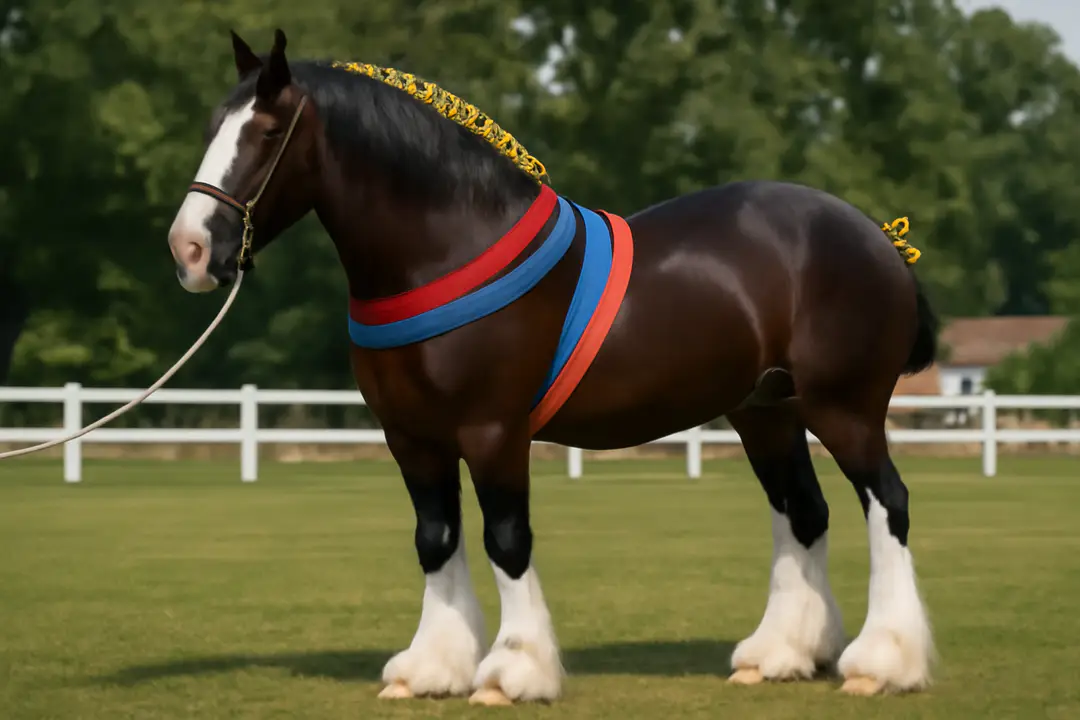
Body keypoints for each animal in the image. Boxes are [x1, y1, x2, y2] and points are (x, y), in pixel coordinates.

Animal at [167, 28, 939, 705]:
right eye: (212, 125)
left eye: (268, 133)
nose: (191, 250)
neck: (448, 248)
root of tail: (874, 236)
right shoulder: (412, 438)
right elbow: (435, 539)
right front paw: (431, 668)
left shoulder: (493, 432)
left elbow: (506, 540)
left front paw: (513, 671)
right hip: (766, 413)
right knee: (802, 512)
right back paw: (781, 654)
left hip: (844, 408)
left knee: (888, 502)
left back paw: (882, 662)